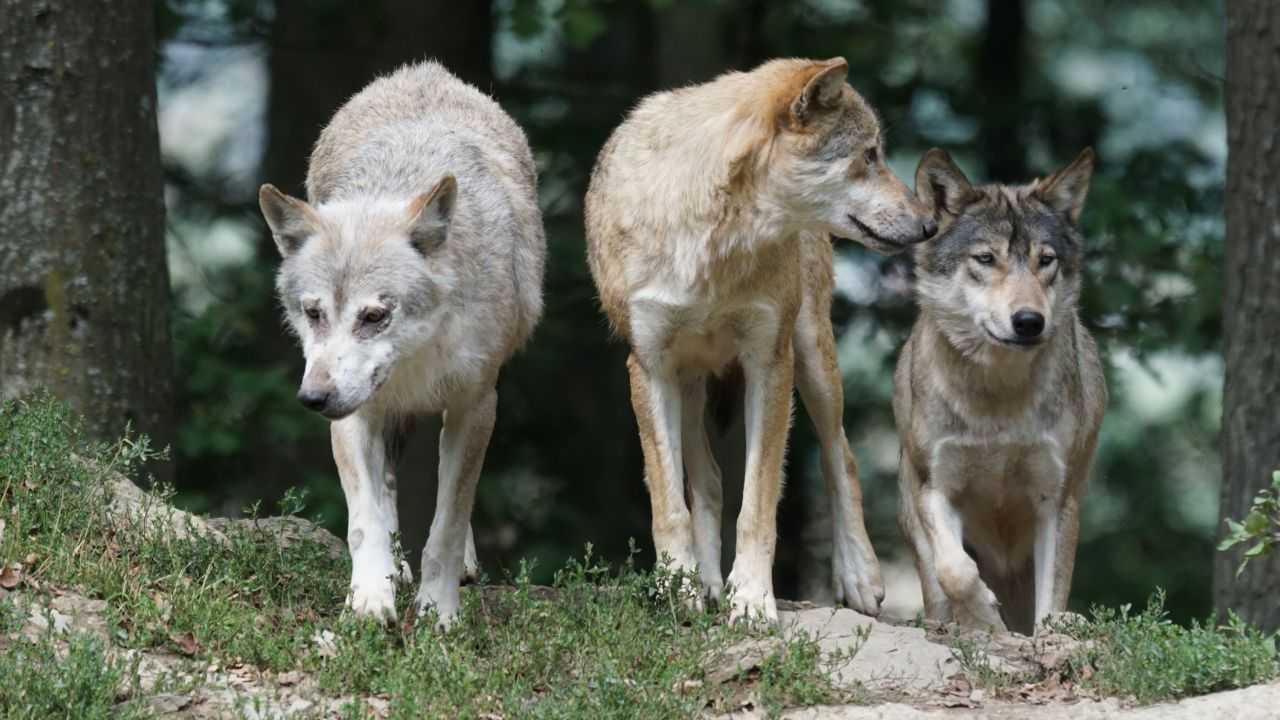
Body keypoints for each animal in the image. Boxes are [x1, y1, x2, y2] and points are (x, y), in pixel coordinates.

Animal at [257, 60, 542, 622]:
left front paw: (440, 611)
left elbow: (448, 522)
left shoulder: (476, 404)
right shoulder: (353, 413)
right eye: (314, 313)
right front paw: (370, 598)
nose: (312, 398)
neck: (417, 358)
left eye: (374, 316)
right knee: (386, 486)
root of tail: (423, 70)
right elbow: (364, 519)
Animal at [586, 56, 936, 620]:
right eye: (869, 155)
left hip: (813, 358)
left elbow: (757, 503)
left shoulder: (769, 362)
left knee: (842, 455)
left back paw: (858, 576)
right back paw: (705, 584)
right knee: (706, 481)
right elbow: (670, 504)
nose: (930, 225)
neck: (713, 242)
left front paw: (750, 600)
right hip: (689, 383)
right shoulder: (649, 368)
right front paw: (680, 590)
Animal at [896, 148, 1105, 630]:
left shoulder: (1056, 499)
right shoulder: (935, 486)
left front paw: (1048, 630)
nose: (1029, 321)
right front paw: (983, 617)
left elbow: (1052, 599)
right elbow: (954, 570)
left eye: (1045, 260)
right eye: (986, 259)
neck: (998, 399)